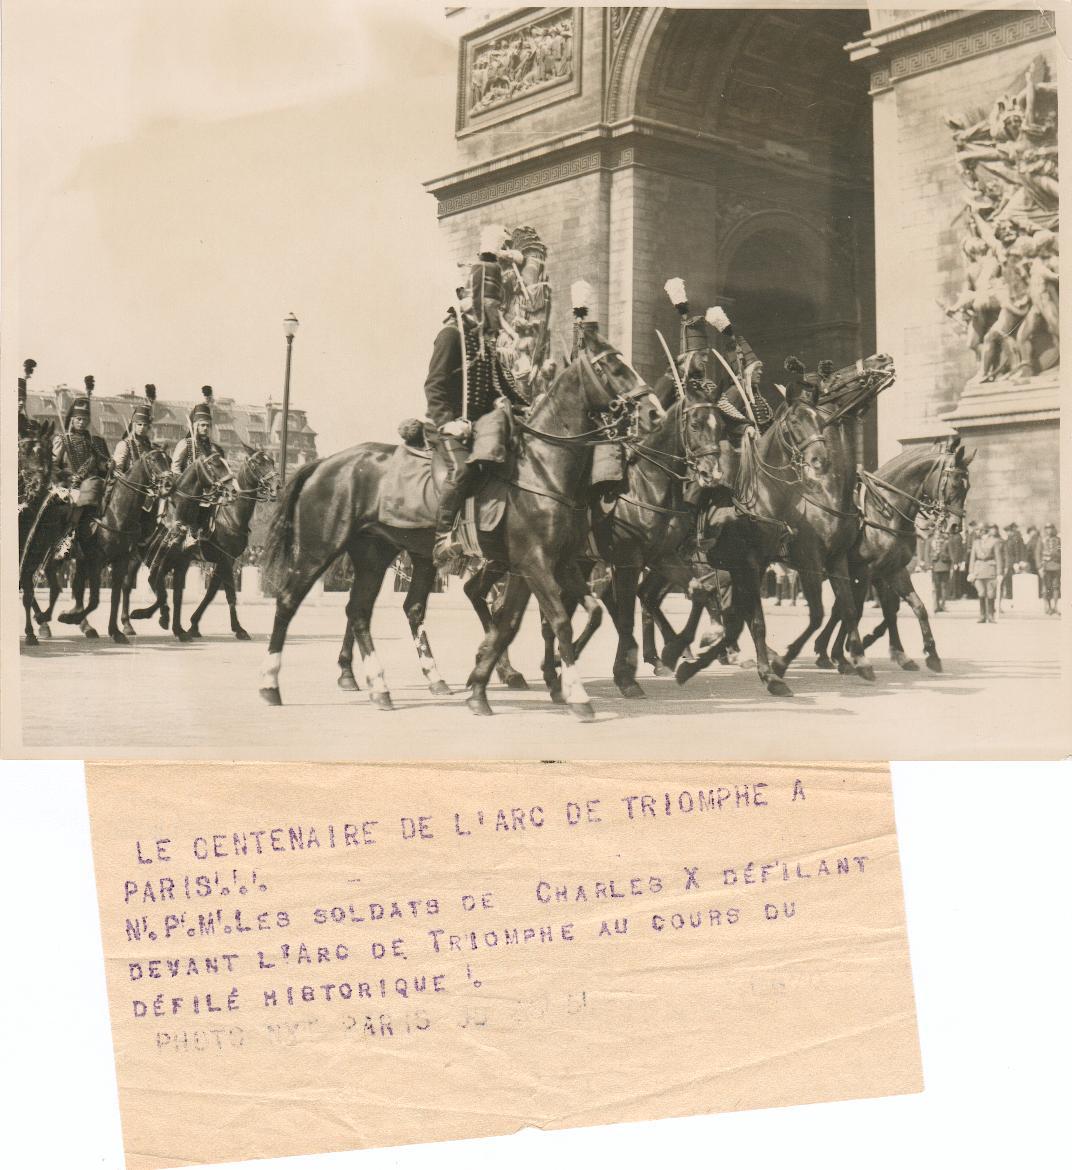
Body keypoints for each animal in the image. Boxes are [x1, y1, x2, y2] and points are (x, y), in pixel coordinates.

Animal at [257, 325, 655, 716]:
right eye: (613, 366)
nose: (651, 411)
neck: (543, 469)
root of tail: (324, 463)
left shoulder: (558, 562)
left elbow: (560, 618)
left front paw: (485, 685)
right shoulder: (535, 562)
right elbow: (556, 619)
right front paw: (574, 693)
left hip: (374, 554)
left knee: (359, 612)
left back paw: (382, 688)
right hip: (318, 549)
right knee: (288, 601)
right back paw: (271, 684)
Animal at [814, 437, 973, 678]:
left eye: (967, 486)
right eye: (955, 483)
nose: (955, 525)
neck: (886, 512)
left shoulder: (892, 571)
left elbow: (912, 608)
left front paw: (925, 654)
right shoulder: (863, 572)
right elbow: (852, 609)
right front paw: (842, 654)